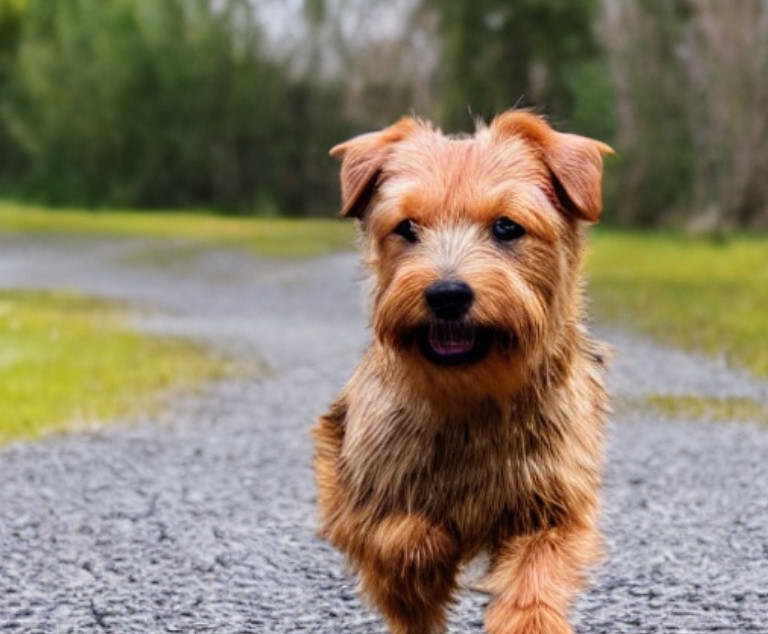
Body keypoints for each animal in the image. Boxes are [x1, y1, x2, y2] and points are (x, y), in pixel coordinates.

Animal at [310, 111, 612, 628]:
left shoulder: (554, 505)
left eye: (507, 227)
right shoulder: (352, 486)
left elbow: (535, 573)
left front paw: (529, 621)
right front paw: (428, 557)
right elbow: (401, 537)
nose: (447, 294)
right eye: (407, 227)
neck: (471, 395)